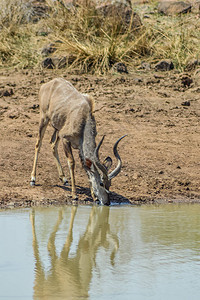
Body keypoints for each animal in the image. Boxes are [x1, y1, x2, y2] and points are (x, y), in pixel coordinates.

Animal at [30, 77, 126, 205]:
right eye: (101, 183)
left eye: (109, 184)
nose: (107, 202)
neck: (84, 120)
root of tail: (48, 84)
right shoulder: (66, 139)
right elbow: (72, 162)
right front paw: (74, 195)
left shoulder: (79, 147)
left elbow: (85, 166)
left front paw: (94, 197)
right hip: (44, 119)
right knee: (38, 144)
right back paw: (33, 179)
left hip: (57, 129)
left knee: (52, 144)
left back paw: (64, 178)